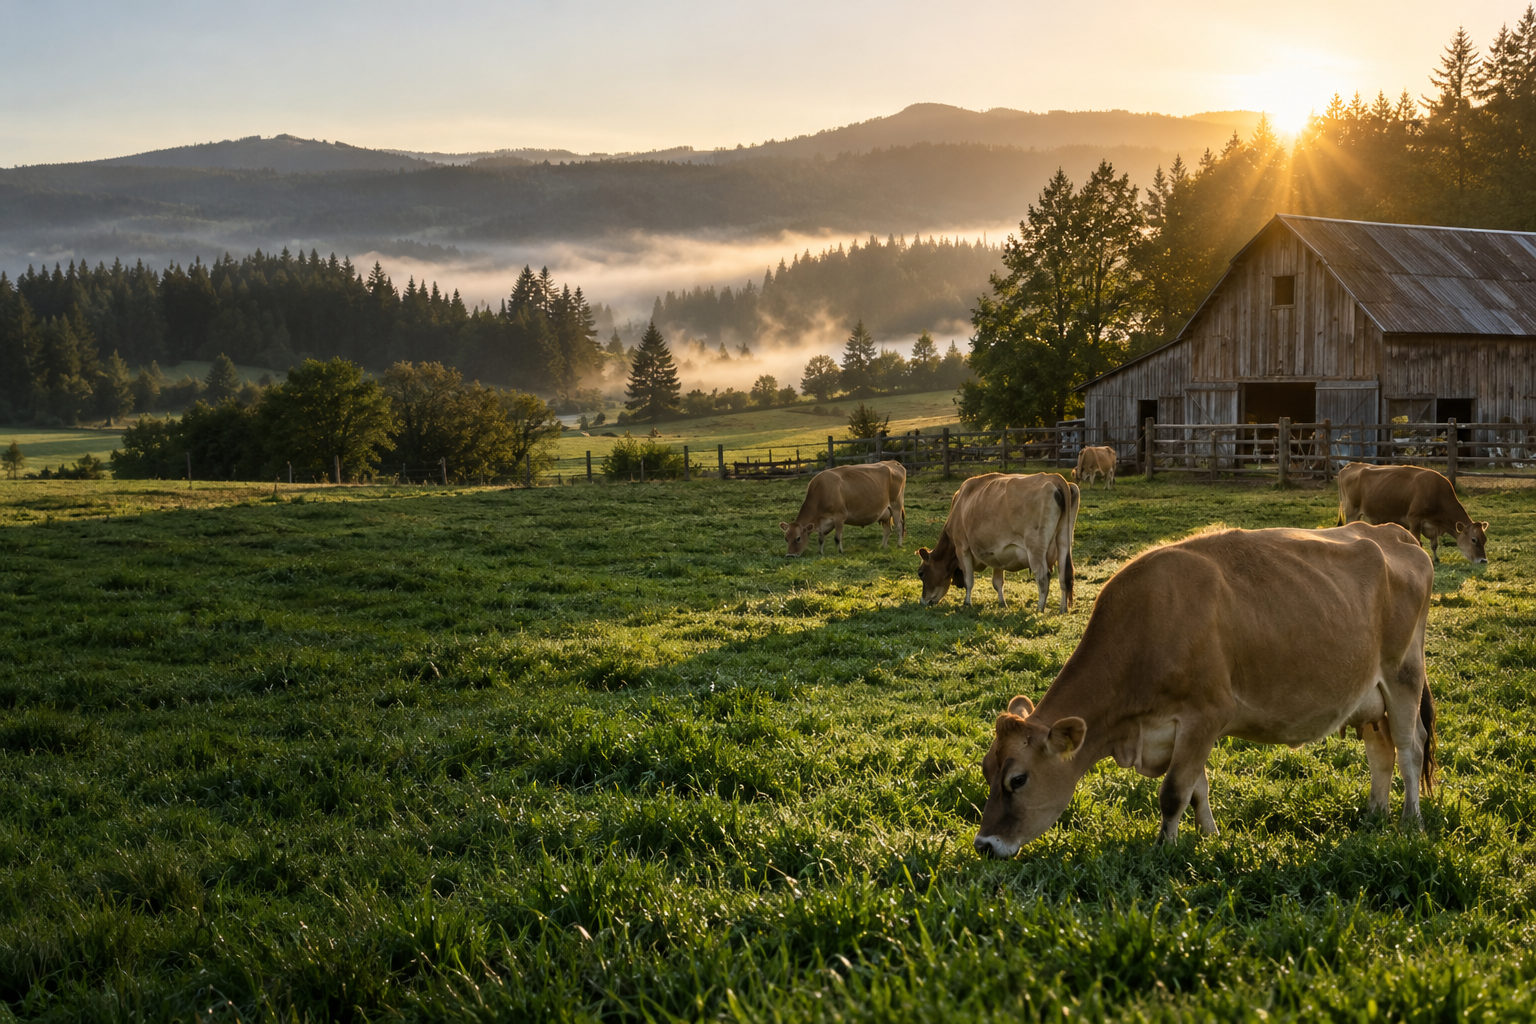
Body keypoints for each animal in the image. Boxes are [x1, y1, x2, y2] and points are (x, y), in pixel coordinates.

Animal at [915, 472, 1079, 613]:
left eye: (921, 573)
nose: (923, 601)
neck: (960, 505)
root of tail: (1055, 477)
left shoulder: (962, 547)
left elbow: (969, 580)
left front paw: (967, 603)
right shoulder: (998, 553)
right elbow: (997, 582)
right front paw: (1002, 603)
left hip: (1036, 549)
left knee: (1043, 577)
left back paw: (1039, 609)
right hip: (1064, 543)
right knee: (1064, 575)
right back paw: (1063, 609)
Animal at [972, 522, 1436, 857]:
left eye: (1017, 779)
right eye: (986, 770)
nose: (984, 845)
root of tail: (1394, 533)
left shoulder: (1205, 715)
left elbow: (1174, 792)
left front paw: (1164, 849)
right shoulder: (1181, 730)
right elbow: (1198, 789)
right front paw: (1209, 836)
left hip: (1402, 676)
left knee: (1411, 748)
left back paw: (1410, 820)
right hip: (1370, 698)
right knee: (1381, 751)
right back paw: (1375, 813)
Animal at [1337, 463, 1488, 564]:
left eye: (1485, 539)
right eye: (1473, 540)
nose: (1483, 560)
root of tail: (1352, 465)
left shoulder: (1433, 526)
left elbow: (1434, 544)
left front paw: (1436, 559)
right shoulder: (1415, 520)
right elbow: (1417, 542)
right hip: (1351, 512)